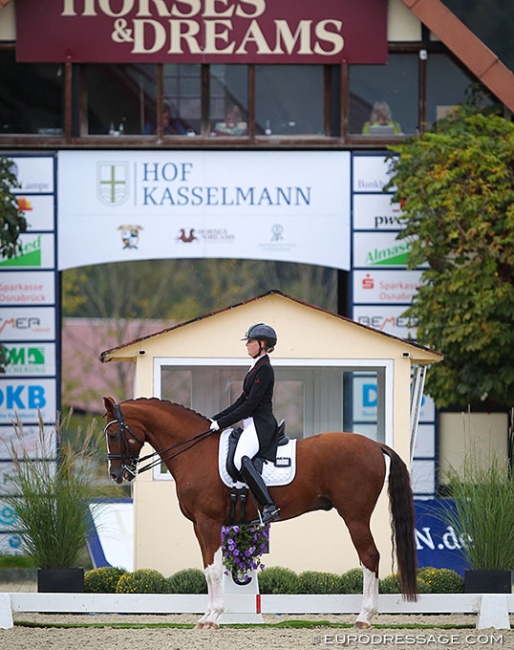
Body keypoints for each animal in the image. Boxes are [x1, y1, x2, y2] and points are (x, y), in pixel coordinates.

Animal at [101, 392, 416, 624]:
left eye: (114, 434)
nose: (117, 475)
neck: (195, 452)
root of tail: (373, 444)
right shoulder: (199, 526)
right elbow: (207, 568)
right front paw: (206, 616)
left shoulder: (208, 521)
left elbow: (214, 569)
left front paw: (213, 618)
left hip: (355, 516)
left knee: (369, 557)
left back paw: (364, 617)